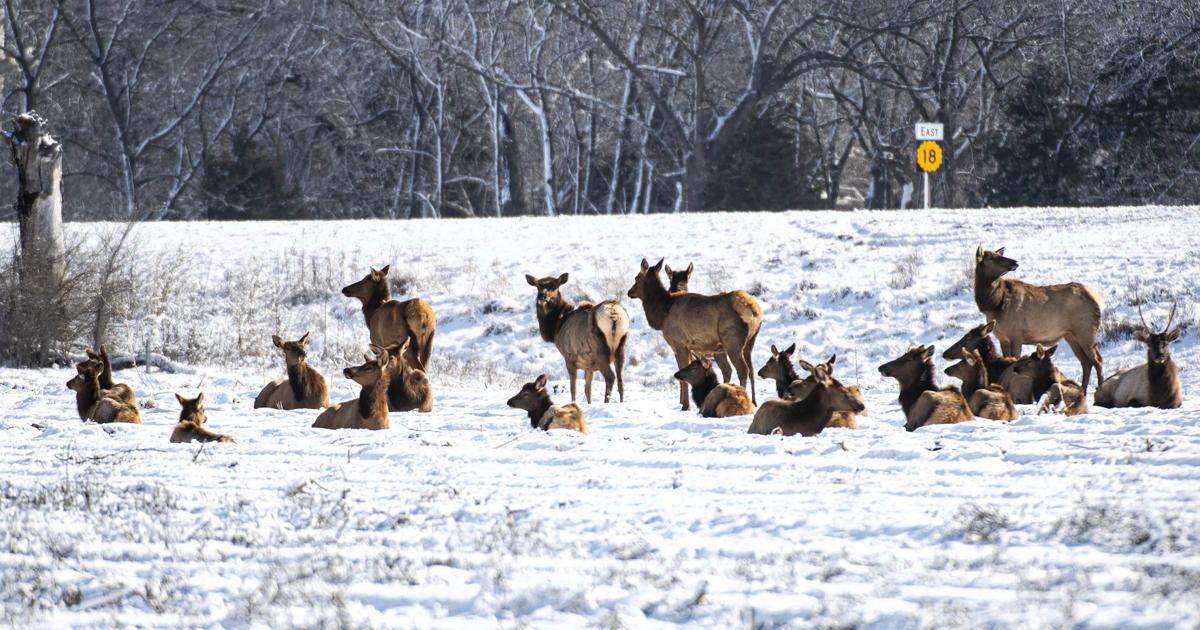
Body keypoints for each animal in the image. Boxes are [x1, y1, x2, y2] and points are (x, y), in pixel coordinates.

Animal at [525, 272, 631, 403]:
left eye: (554, 286)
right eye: (538, 286)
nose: (542, 296)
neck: (556, 327)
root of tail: (614, 313)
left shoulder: (569, 357)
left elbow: (573, 388)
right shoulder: (588, 365)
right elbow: (587, 390)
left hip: (600, 349)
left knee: (610, 377)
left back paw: (606, 402)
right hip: (622, 346)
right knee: (621, 381)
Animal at [627, 258, 762, 411]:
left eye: (636, 278)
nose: (629, 292)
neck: (663, 314)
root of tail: (755, 311)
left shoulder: (680, 343)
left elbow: (682, 375)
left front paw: (685, 405)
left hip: (732, 342)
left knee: (743, 369)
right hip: (748, 342)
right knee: (750, 369)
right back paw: (754, 402)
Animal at [974, 246, 1104, 393]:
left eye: (998, 255)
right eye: (991, 257)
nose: (1014, 262)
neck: (994, 304)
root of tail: (1097, 299)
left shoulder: (1016, 335)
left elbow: (1015, 359)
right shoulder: (1002, 337)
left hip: (1086, 331)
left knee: (1098, 360)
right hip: (1071, 335)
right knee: (1086, 362)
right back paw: (1083, 390)